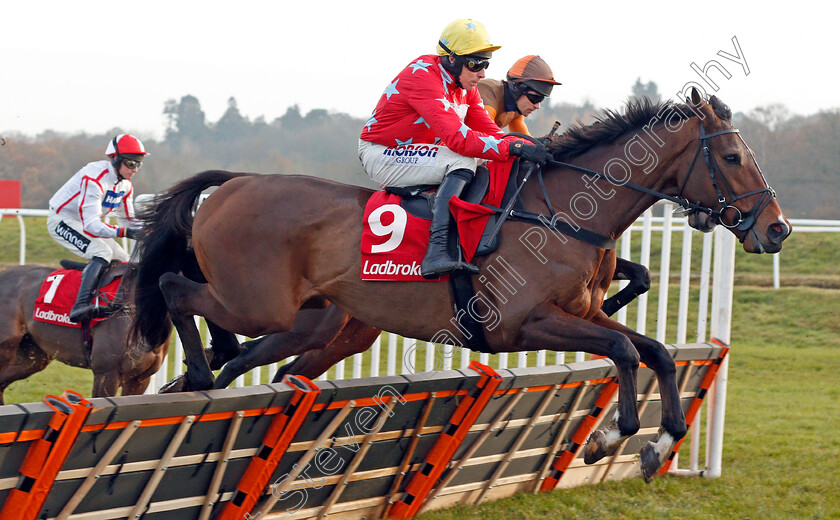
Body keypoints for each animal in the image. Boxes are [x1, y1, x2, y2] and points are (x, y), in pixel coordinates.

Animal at [130, 91, 788, 482]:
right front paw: (612, 437)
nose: (776, 228)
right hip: (261, 303)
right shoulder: (521, 323)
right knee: (173, 286)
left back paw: (210, 368)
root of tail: (236, 181)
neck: (557, 212)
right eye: (733, 156)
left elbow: (654, 351)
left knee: (241, 345)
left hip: (311, 323)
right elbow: (626, 350)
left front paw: (656, 441)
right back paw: (198, 370)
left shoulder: (584, 313)